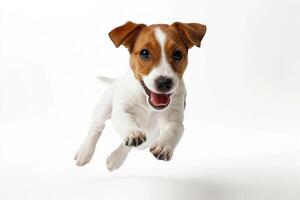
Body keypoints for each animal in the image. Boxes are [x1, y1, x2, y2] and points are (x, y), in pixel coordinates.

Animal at [75, 21, 206, 170]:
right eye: (144, 53)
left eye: (178, 54)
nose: (164, 82)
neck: (148, 103)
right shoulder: (121, 110)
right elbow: (125, 119)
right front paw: (133, 132)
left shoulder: (175, 120)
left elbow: (173, 130)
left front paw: (163, 147)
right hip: (104, 106)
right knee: (97, 127)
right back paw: (84, 152)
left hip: (149, 138)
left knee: (128, 145)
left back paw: (115, 158)